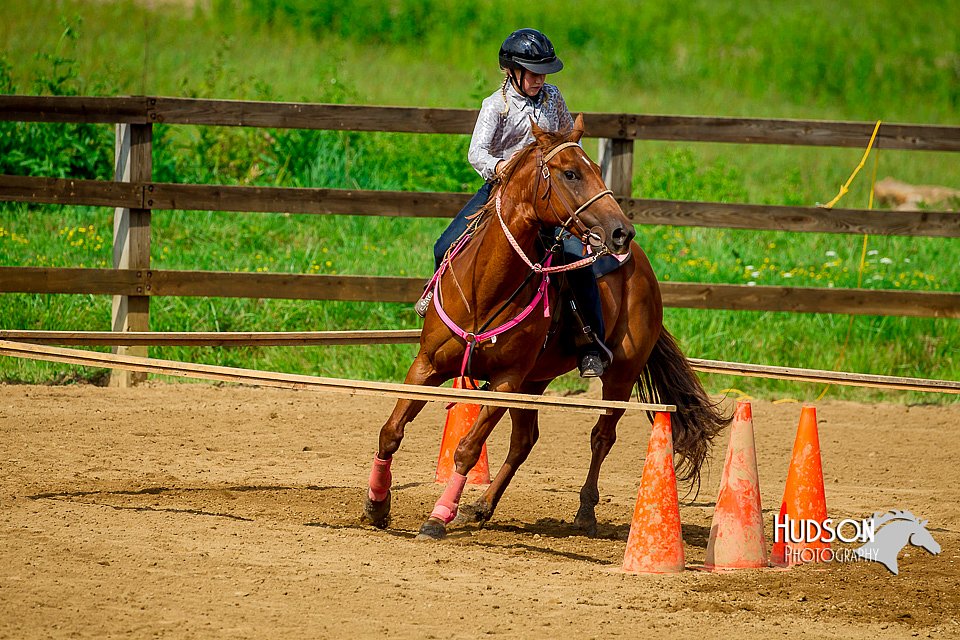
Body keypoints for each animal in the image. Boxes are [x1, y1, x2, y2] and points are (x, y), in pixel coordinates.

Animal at [360, 114, 728, 540]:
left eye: (597, 169)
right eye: (570, 173)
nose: (622, 230)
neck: (486, 288)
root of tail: (642, 266)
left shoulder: (506, 382)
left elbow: (467, 449)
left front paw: (437, 517)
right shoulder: (428, 366)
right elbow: (391, 432)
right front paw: (377, 505)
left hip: (619, 375)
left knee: (601, 436)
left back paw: (584, 512)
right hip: (535, 381)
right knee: (524, 440)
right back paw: (481, 507)